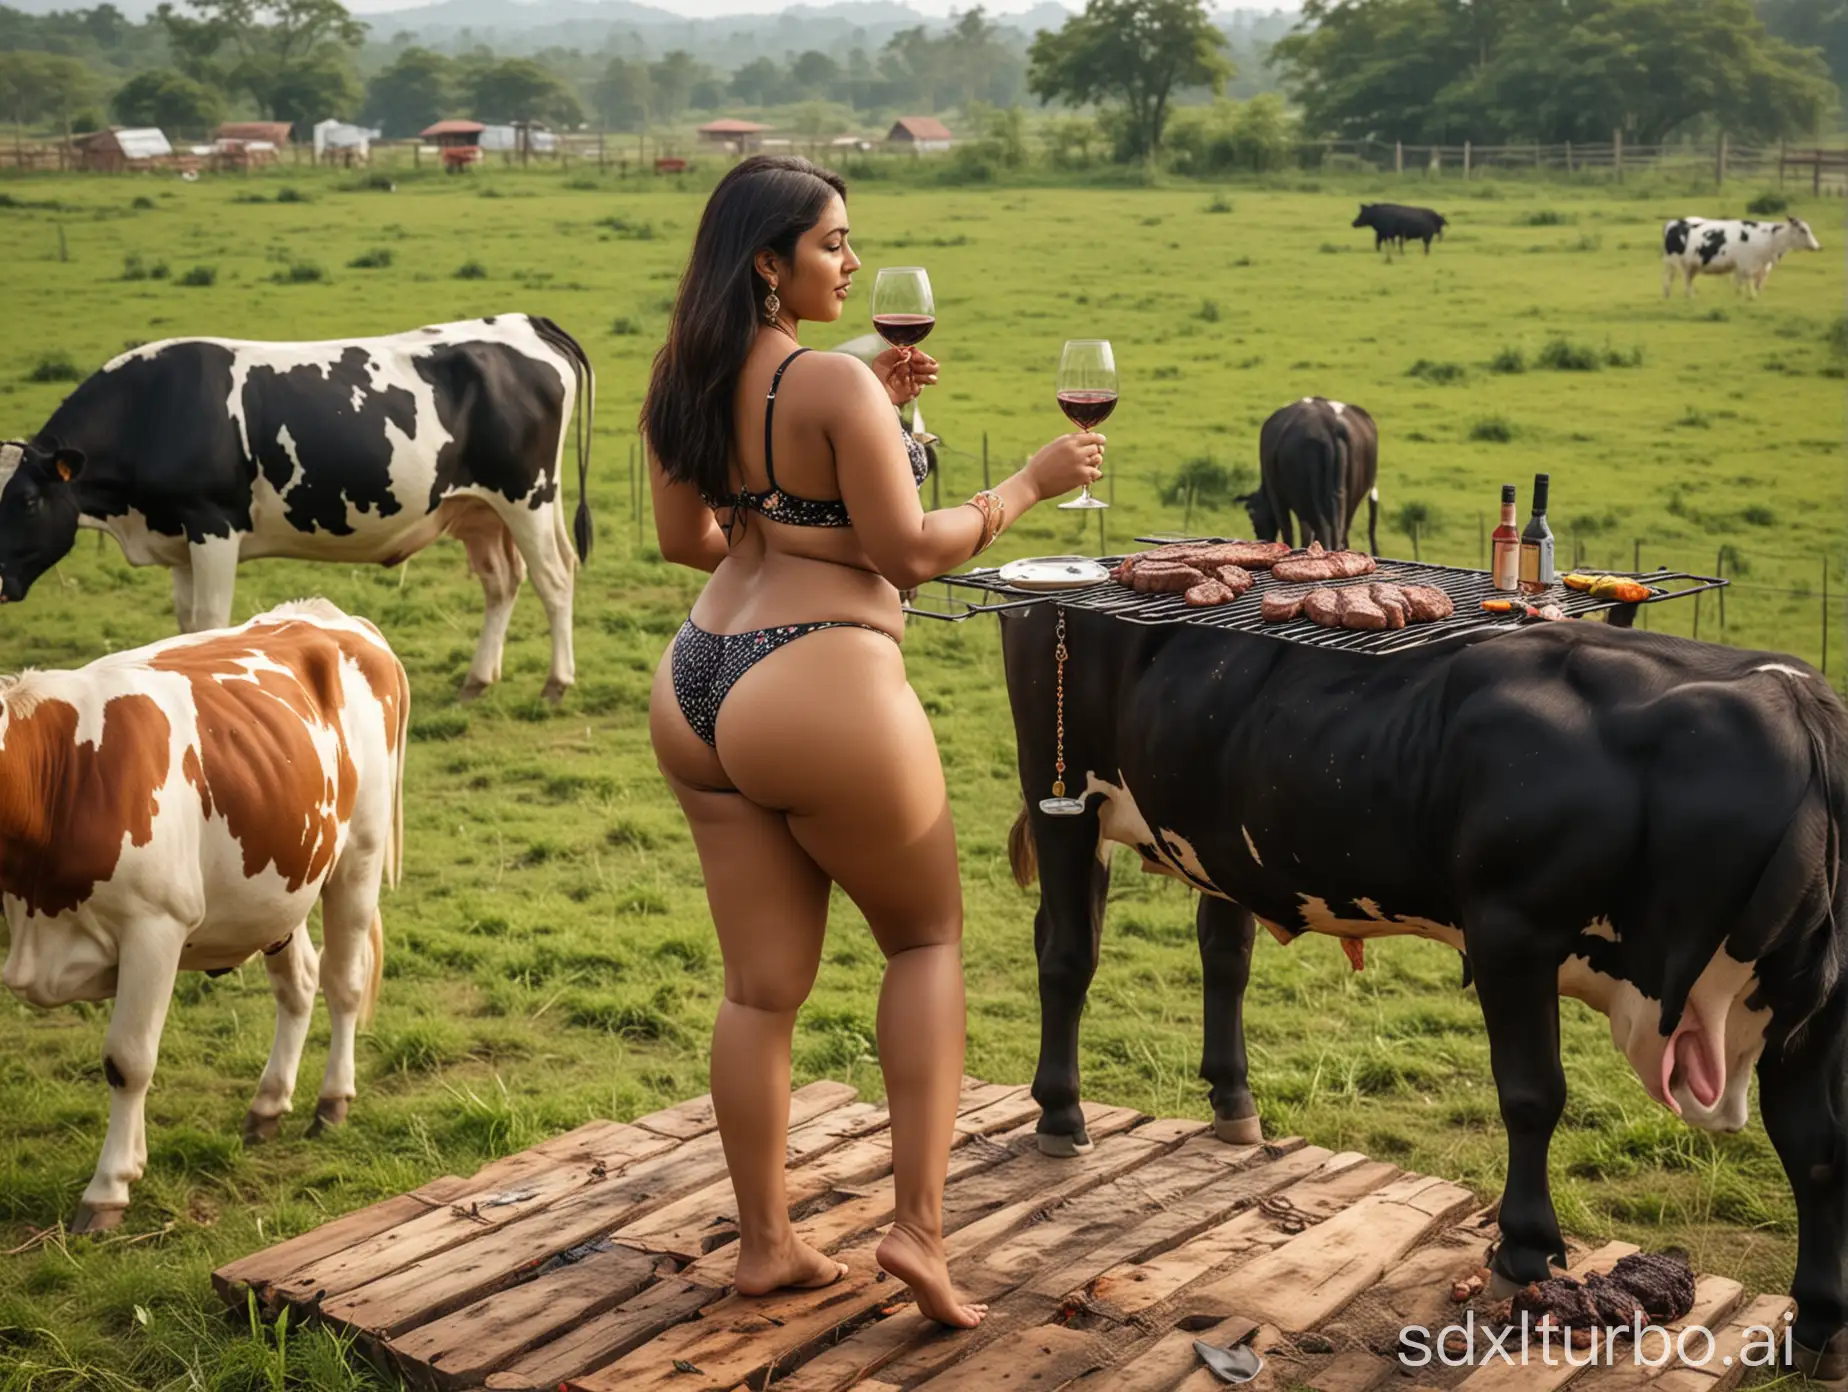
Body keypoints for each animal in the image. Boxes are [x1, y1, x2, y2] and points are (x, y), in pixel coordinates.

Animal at [0, 317, 591, 706]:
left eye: (26, 500)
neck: (154, 408)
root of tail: (524, 323)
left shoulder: (213, 524)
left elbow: (210, 620)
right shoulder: (179, 537)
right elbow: (187, 622)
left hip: (527, 496)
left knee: (555, 578)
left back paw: (557, 682)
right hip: (478, 509)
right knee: (503, 581)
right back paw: (478, 679)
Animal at [0, 598, 406, 1227]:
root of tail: (330, 614)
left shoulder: (154, 926)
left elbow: (128, 1059)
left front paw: (109, 1189)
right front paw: (134, 1160)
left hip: (357, 859)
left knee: (344, 981)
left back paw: (332, 1101)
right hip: (281, 879)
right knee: (299, 984)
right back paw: (269, 1103)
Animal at [1005, 606, 1848, 1382]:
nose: (1819, 934)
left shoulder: (1811, 1014)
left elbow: (1816, 1148)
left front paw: (1822, 1324)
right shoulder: (1511, 931)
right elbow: (1533, 1095)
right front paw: (1526, 1247)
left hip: (1207, 836)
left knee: (1223, 949)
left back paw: (1233, 1100)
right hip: (1063, 796)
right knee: (1067, 953)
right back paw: (1061, 1113)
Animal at [1241, 393, 1374, 550]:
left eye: (1251, 515)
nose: (1260, 537)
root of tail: (1330, 425)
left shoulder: (1277, 495)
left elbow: (1290, 530)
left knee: (1322, 528)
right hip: (1348, 498)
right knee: (1340, 529)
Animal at [1663, 216, 1818, 297]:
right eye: (1803, 230)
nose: (1818, 246)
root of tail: (1675, 222)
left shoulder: (1743, 268)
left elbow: (1741, 283)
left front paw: (1740, 295)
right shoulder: (1747, 265)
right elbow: (1748, 281)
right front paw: (1752, 296)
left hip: (1691, 266)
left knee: (1687, 280)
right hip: (1673, 263)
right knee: (1673, 279)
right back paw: (1675, 295)